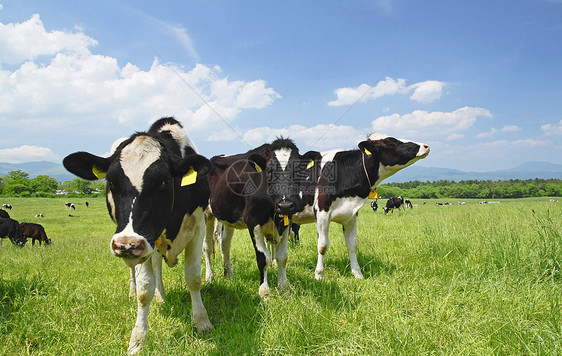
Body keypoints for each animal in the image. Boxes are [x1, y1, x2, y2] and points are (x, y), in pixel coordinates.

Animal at [62, 116, 212, 354]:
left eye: (163, 181)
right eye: (111, 181)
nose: (126, 244)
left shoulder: (197, 226)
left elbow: (193, 278)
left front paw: (201, 321)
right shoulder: (143, 243)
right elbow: (144, 289)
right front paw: (138, 338)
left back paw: (162, 296)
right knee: (138, 272)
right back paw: (146, 294)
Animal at [202, 138, 306, 298]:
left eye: (298, 171)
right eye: (269, 171)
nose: (285, 205)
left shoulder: (285, 223)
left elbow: (282, 257)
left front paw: (284, 288)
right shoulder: (253, 222)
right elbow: (263, 259)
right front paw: (264, 292)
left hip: (228, 217)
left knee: (225, 244)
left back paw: (228, 275)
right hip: (207, 214)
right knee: (207, 246)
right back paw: (209, 278)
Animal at [290, 132, 426, 280]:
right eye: (392, 142)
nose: (425, 146)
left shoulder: (351, 215)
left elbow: (352, 245)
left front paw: (357, 273)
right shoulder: (322, 213)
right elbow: (322, 246)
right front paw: (319, 275)